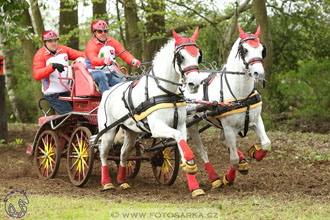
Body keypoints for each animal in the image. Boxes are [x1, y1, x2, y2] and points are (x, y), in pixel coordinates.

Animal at [96, 27, 206, 198]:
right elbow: (182, 145)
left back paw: (122, 181)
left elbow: (183, 147)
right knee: (103, 153)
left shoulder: (181, 125)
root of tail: (108, 91)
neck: (165, 91)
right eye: (181, 56)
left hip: (131, 133)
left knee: (123, 154)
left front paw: (195, 187)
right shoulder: (156, 127)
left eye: (198, 56)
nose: (194, 84)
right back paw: (107, 183)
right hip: (108, 131)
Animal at [184, 24, 272, 189]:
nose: (259, 73)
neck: (240, 94)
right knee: (202, 150)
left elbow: (266, 143)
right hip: (191, 123)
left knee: (222, 141)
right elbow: (233, 159)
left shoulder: (256, 120)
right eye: (245, 50)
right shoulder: (229, 128)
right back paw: (214, 178)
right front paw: (229, 178)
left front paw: (255, 152)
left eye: (261, 49)